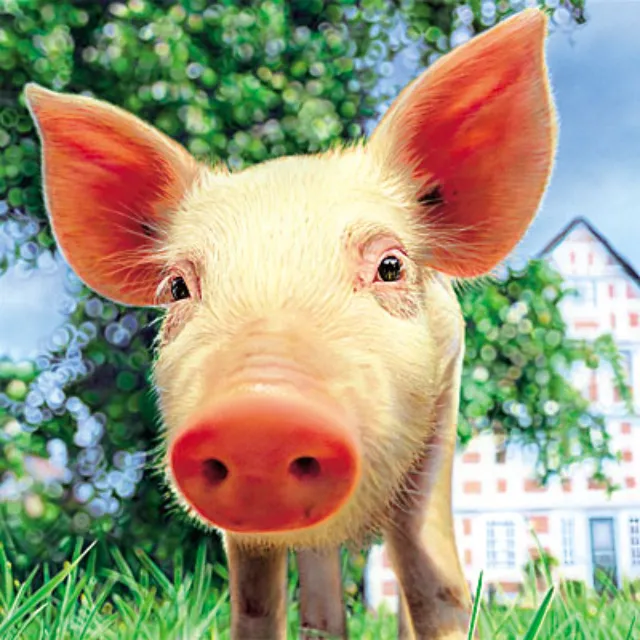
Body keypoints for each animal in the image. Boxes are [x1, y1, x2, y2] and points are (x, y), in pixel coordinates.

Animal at [25, 7, 557, 639]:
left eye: (390, 265)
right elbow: (255, 595)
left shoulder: (443, 405)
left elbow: (426, 567)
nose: (258, 416)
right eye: (178, 287)